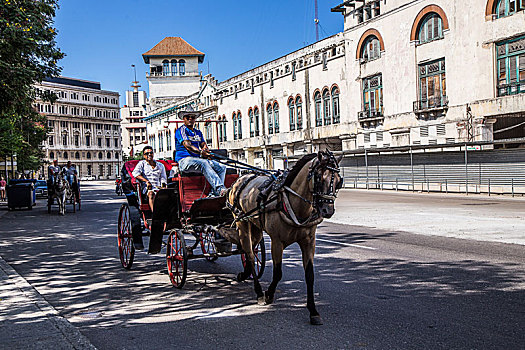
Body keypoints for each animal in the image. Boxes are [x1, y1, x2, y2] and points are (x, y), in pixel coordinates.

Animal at [226, 150, 344, 326]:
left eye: (338, 181)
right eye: (319, 178)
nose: (327, 210)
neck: (292, 203)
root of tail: (241, 178)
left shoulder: (309, 242)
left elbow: (310, 275)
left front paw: (313, 311)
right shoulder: (277, 242)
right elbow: (278, 273)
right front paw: (269, 294)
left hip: (255, 226)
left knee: (249, 250)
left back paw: (245, 274)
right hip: (241, 222)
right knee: (249, 253)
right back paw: (259, 292)